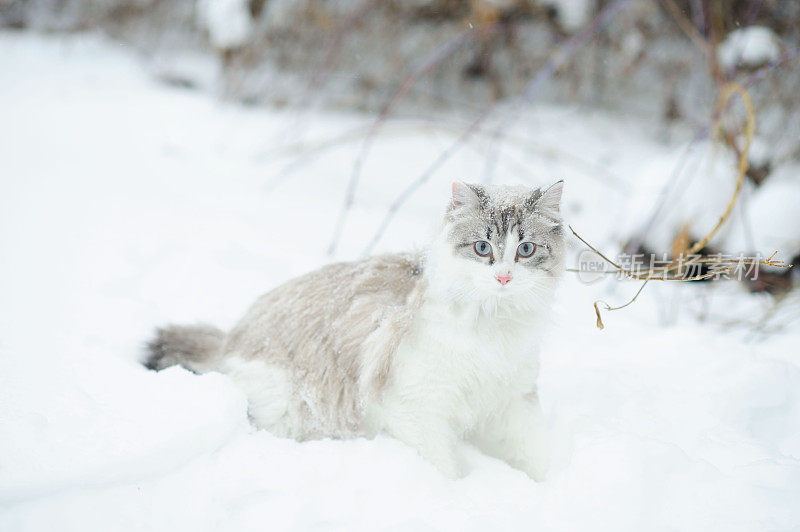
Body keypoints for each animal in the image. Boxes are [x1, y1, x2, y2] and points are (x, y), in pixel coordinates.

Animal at [147, 181, 564, 480]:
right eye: (482, 248)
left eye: (526, 249)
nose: (504, 277)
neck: (493, 326)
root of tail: (231, 337)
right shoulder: (416, 408)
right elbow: (446, 470)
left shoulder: (512, 399)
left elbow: (537, 456)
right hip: (290, 406)